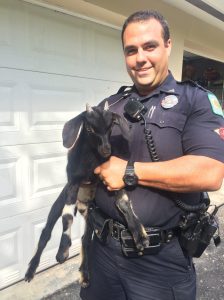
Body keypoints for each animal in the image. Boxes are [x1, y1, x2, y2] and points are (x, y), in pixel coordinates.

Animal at [25, 103, 149, 286]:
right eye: (90, 128)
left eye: (110, 126)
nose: (106, 150)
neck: (91, 160)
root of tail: (81, 206)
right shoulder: (73, 183)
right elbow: (67, 216)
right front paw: (63, 249)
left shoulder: (109, 179)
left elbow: (123, 202)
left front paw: (139, 235)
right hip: (59, 203)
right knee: (46, 232)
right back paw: (31, 270)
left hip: (90, 213)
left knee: (85, 239)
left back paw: (85, 273)